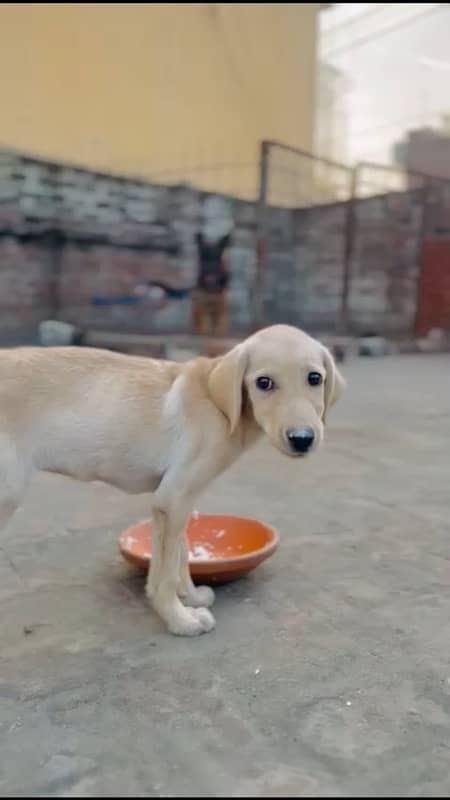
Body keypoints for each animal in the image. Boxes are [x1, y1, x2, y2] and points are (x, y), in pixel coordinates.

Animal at [0, 324, 344, 636]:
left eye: (315, 378)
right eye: (263, 383)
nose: (302, 439)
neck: (217, 405)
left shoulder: (172, 501)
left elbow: (178, 554)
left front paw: (189, 597)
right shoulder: (175, 497)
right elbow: (166, 573)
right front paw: (181, 620)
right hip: (8, 493)